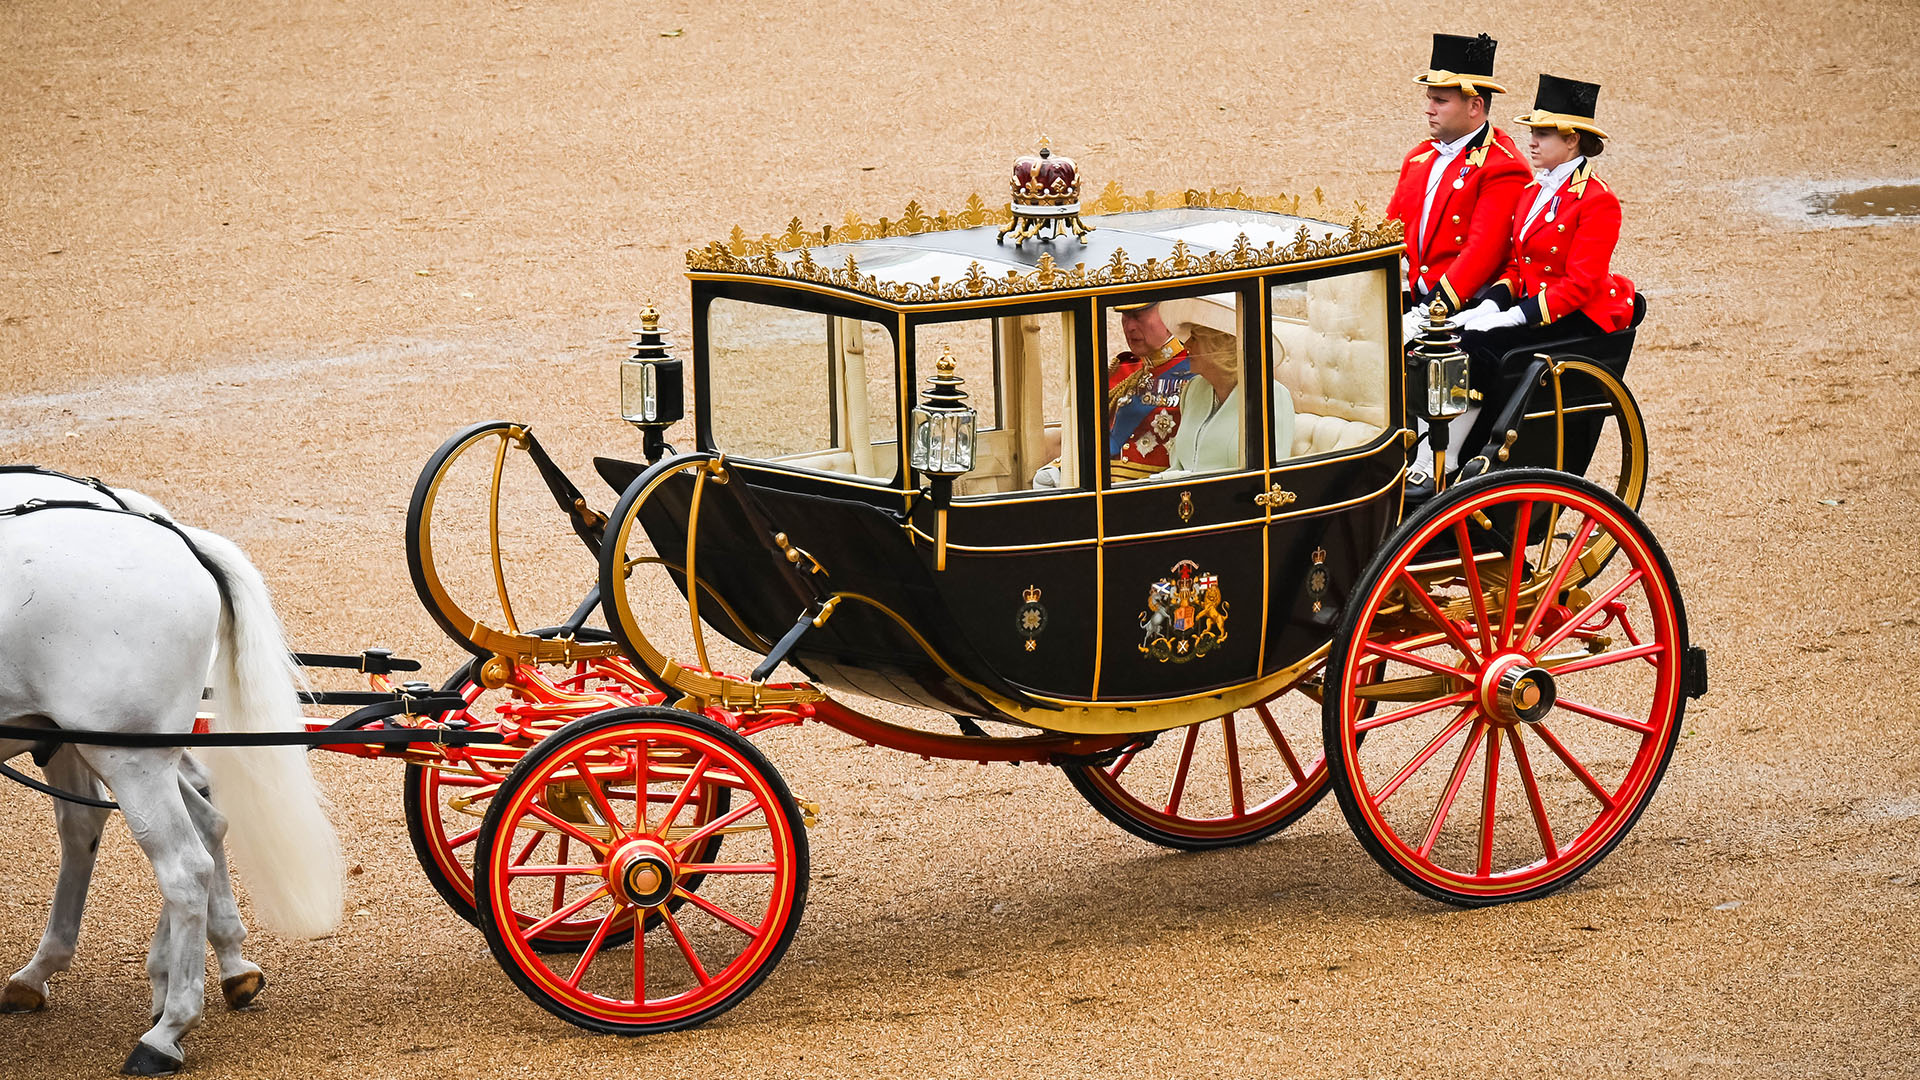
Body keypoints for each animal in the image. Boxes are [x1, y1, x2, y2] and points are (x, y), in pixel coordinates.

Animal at [0, 470, 341, 1068]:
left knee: (185, 865)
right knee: (183, 825)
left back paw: (166, 1031)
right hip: (97, 742)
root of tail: (177, 538)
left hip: (126, 754)